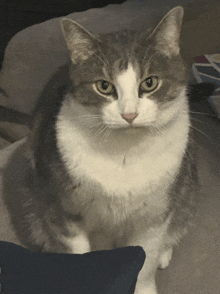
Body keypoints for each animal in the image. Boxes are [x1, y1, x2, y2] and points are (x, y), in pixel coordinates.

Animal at [3, 5, 199, 294]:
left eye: (150, 83)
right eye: (104, 86)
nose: (129, 114)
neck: (124, 154)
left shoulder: (154, 217)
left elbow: (146, 263)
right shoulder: (65, 212)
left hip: (187, 187)